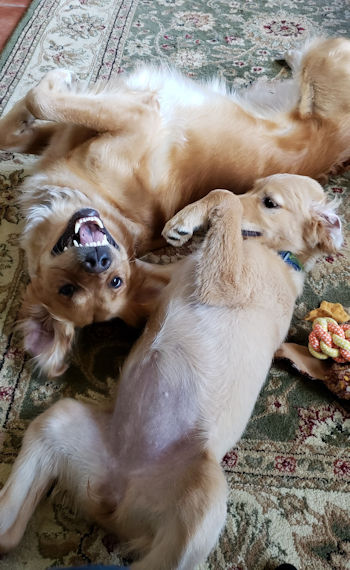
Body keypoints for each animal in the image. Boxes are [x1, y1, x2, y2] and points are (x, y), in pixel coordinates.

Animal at [0, 37, 350, 374]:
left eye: (116, 281)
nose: (98, 260)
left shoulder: (137, 116)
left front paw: (57, 78)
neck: (105, 201)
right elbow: (15, 129)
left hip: (319, 61)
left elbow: (37, 101)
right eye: (67, 289)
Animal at [0, 175, 342, 564]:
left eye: (270, 202)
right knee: (9, 535)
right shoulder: (166, 276)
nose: (96, 261)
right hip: (57, 421)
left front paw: (186, 219)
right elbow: (138, 263)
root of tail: (114, 492)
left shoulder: (226, 284)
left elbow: (225, 198)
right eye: (256, 189)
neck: (276, 255)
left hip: (202, 509)